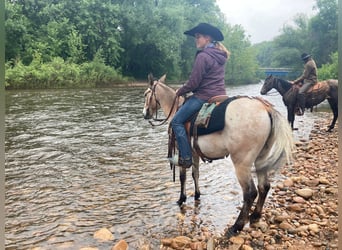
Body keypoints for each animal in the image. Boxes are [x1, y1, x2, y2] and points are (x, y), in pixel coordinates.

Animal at [142, 73, 294, 236]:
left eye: (146, 94)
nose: (145, 113)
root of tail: (266, 109)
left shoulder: (182, 152)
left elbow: (183, 177)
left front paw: (181, 199)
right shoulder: (194, 153)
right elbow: (195, 174)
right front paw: (197, 194)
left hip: (242, 162)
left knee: (250, 193)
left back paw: (236, 226)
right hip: (261, 158)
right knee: (264, 186)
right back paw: (255, 216)